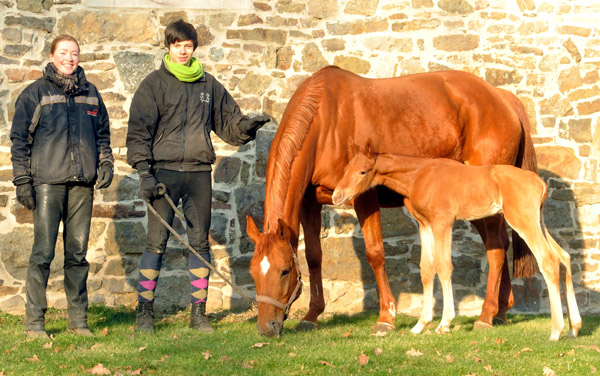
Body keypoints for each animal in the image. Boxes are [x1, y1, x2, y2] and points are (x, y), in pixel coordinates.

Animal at [330, 147, 584, 340]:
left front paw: (444, 323)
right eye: (345, 169)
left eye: (362, 171)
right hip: (538, 220)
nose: (337, 196)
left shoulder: (443, 222)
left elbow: (444, 267)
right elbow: (426, 269)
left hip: (523, 221)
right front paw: (420, 325)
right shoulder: (425, 224)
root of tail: (539, 181)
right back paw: (574, 328)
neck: (419, 175)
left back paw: (556, 331)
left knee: (549, 261)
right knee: (564, 257)